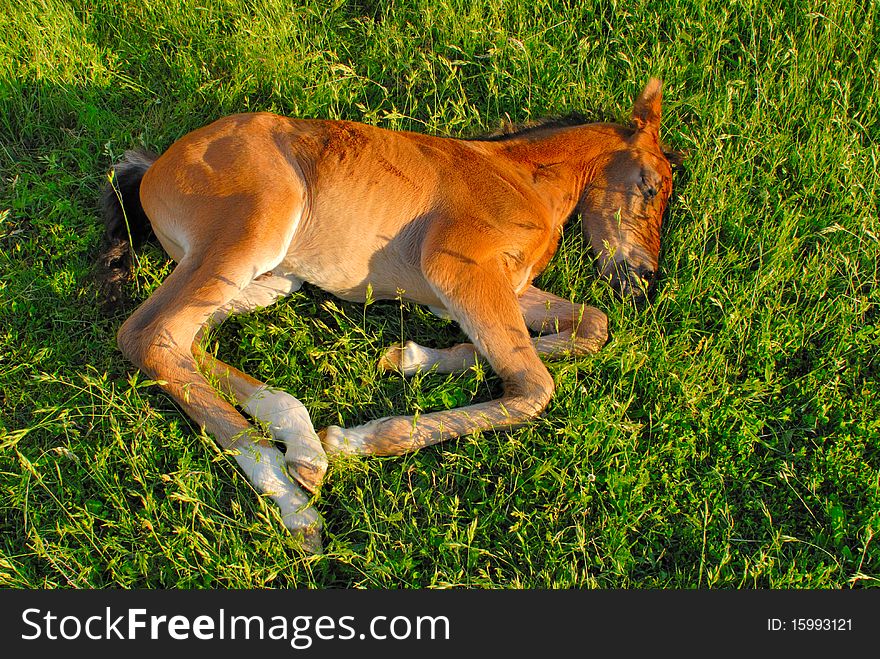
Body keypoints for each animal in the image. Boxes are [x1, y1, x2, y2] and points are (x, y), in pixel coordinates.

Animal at [105, 78, 680, 552]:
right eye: (651, 186)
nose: (642, 280)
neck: (523, 179)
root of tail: (152, 168)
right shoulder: (460, 267)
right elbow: (532, 387)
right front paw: (363, 439)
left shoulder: (500, 285)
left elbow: (590, 326)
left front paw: (413, 358)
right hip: (247, 234)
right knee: (148, 336)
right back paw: (294, 501)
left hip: (271, 278)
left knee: (191, 342)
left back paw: (302, 446)